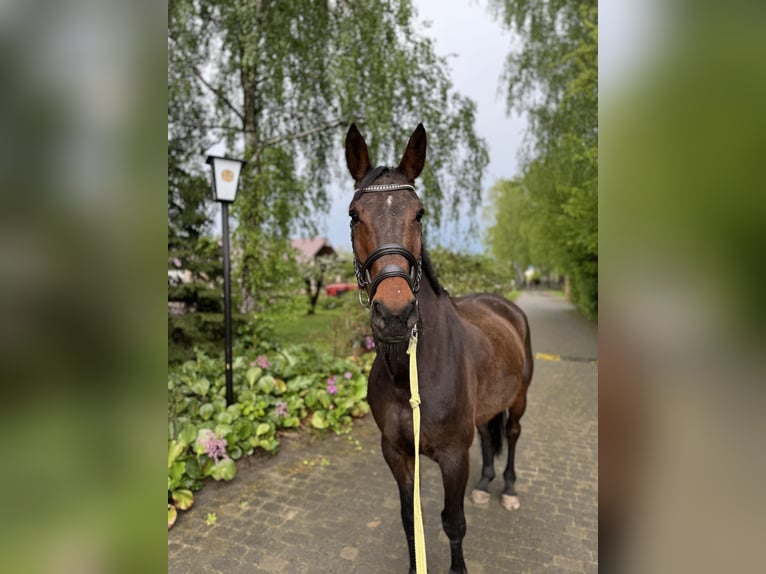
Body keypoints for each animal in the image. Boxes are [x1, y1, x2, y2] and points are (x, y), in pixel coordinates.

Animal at [346, 124, 536, 572]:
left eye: (419, 213)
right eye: (354, 214)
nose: (395, 314)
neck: (411, 375)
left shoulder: (453, 456)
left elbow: (453, 522)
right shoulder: (397, 453)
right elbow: (408, 519)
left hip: (520, 397)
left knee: (512, 433)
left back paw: (508, 489)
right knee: (488, 432)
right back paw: (484, 484)